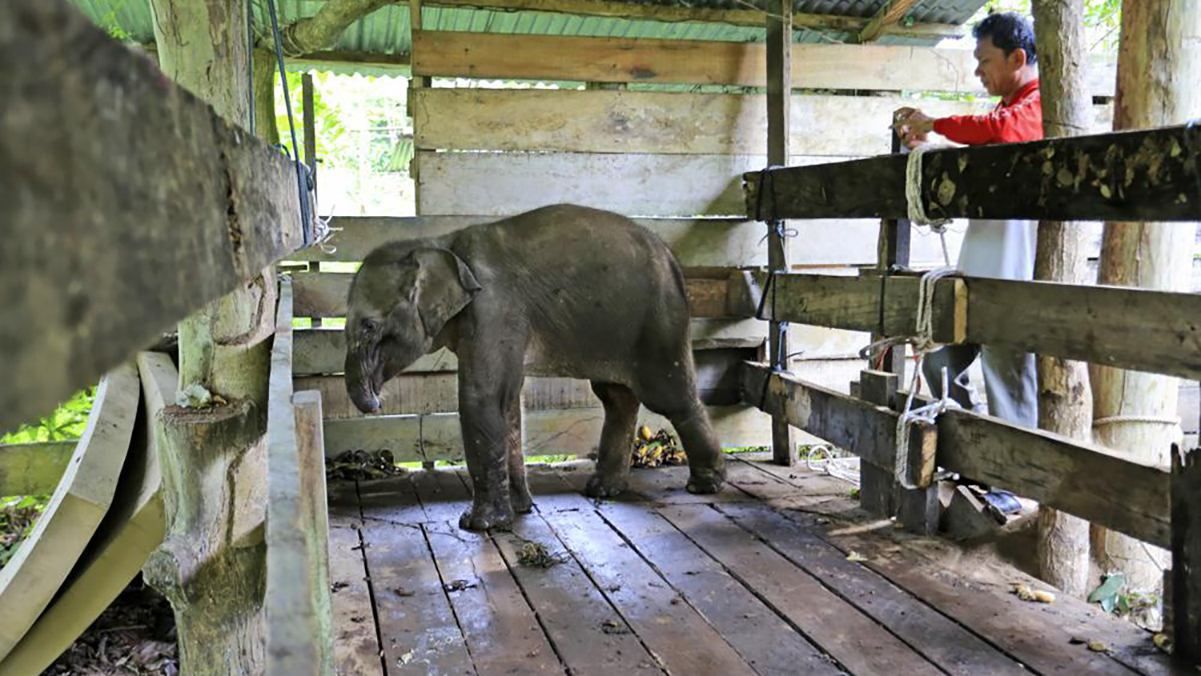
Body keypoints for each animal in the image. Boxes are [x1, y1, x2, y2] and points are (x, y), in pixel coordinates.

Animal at [343, 204, 725, 530]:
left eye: (369, 327)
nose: (377, 401)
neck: (441, 244)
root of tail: (672, 258)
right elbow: (508, 402)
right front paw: (520, 509)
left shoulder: (494, 310)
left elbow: (482, 398)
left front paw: (478, 524)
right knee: (616, 398)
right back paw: (603, 489)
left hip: (659, 320)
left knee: (669, 396)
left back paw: (705, 485)